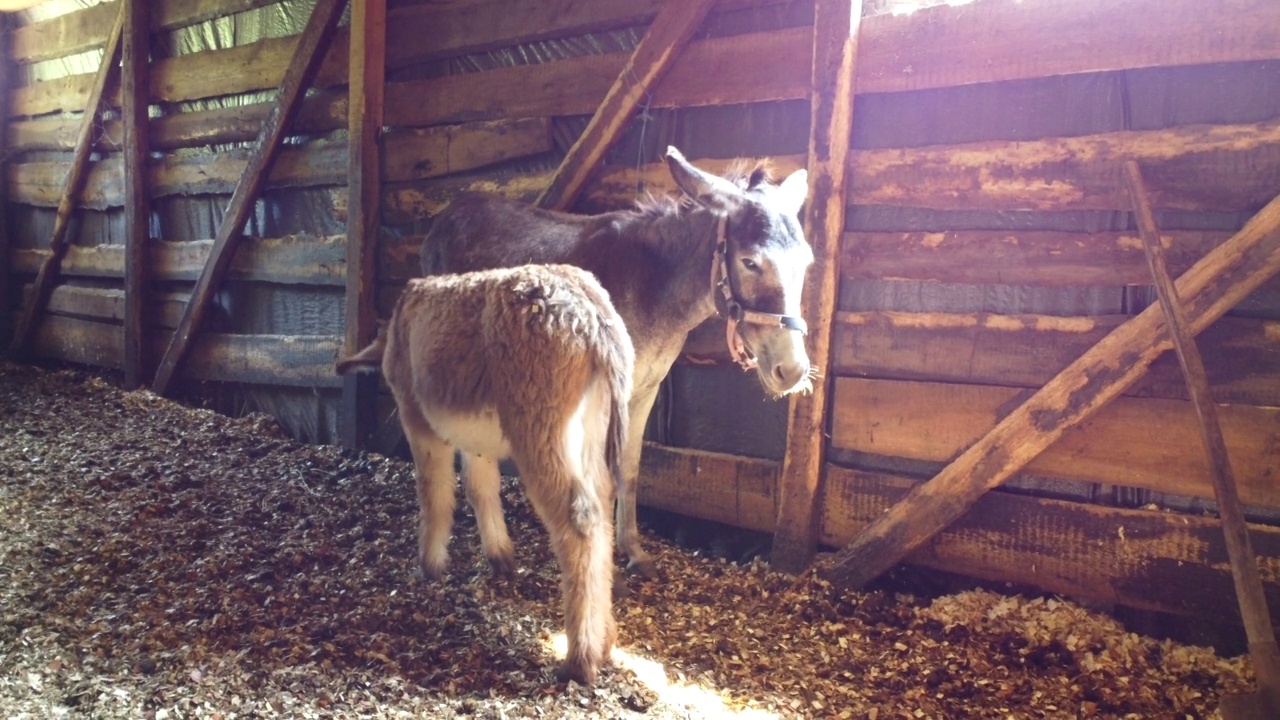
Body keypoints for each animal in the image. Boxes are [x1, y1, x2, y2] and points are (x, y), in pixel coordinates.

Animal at [337, 265, 632, 681]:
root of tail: (591, 310)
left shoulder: (417, 419)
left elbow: (434, 492)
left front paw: (430, 566)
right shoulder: (476, 442)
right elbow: (481, 489)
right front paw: (500, 559)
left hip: (539, 426)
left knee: (579, 521)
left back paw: (580, 659)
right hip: (590, 431)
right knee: (602, 512)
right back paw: (605, 642)